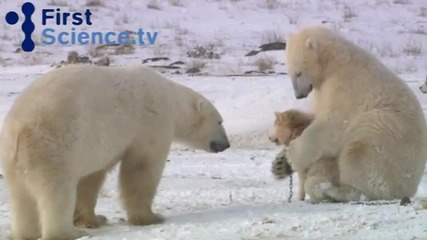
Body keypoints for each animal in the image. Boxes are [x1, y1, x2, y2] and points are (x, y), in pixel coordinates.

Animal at [0, 64, 231, 240]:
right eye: (220, 121)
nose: (227, 144)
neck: (172, 100)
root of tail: (18, 132)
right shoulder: (151, 124)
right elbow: (141, 169)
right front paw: (151, 217)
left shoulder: (96, 147)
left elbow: (92, 177)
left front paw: (93, 219)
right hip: (52, 147)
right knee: (56, 193)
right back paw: (66, 233)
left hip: (15, 162)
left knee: (21, 197)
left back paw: (25, 234)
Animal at [284, 26, 427, 202]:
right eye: (289, 73)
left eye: (298, 72)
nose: (299, 95)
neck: (334, 62)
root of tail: (411, 187)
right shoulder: (322, 89)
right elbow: (318, 113)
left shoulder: (346, 87)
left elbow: (332, 125)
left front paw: (291, 155)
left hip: (389, 137)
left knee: (360, 150)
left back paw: (336, 190)